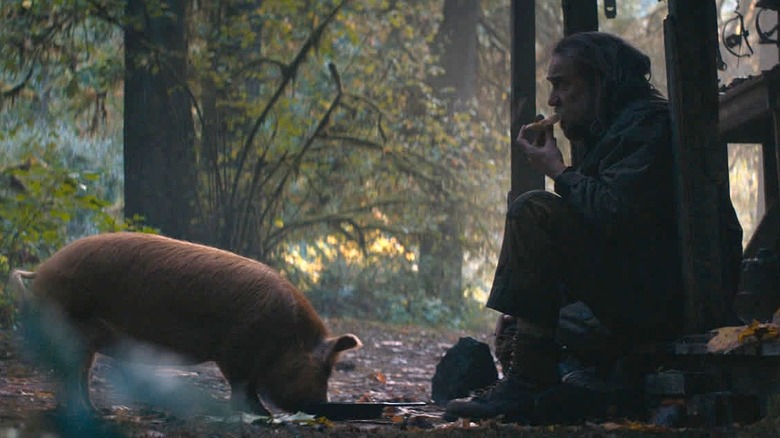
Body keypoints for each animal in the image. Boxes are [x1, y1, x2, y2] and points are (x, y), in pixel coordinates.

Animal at [9, 232, 361, 415]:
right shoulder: (235, 351)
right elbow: (241, 386)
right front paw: (261, 415)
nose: (322, 406)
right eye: (324, 369)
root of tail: (43, 270)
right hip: (68, 326)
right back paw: (84, 411)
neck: (284, 336)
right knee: (71, 374)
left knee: (77, 374)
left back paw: (93, 411)